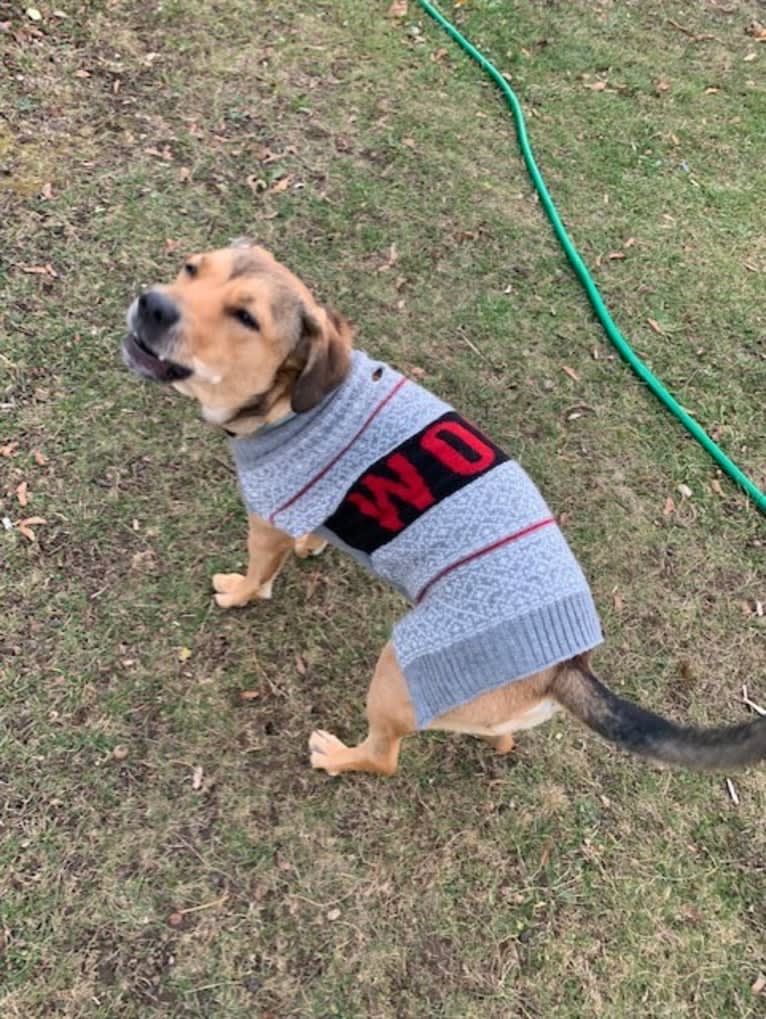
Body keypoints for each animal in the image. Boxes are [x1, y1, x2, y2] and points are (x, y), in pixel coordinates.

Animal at [122, 242, 761, 774]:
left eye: (246, 318)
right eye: (190, 268)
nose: (151, 305)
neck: (294, 402)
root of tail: (566, 667)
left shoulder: (265, 522)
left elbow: (258, 576)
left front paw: (238, 593)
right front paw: (311, 547)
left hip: (398, 668)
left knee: (384, 758)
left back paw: (336, 757)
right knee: (499, 736)